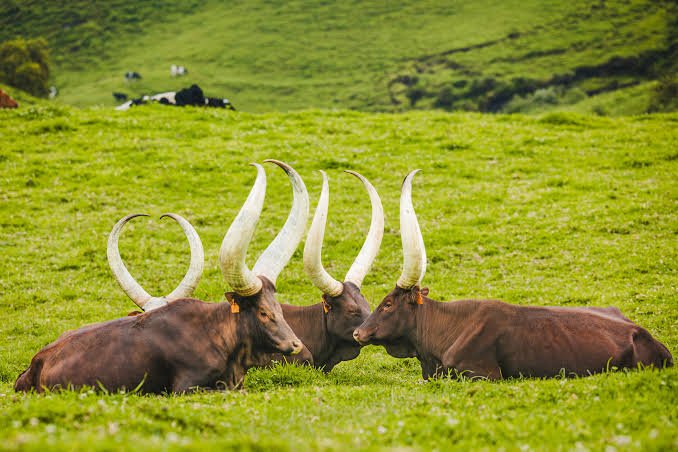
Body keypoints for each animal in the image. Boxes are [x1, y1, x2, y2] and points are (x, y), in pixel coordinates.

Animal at [15, 160, 309, 393]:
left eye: (277, 307)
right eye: (263, 312)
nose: (296, 344)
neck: (217, 334)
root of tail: (34, 364)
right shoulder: (187, 388)